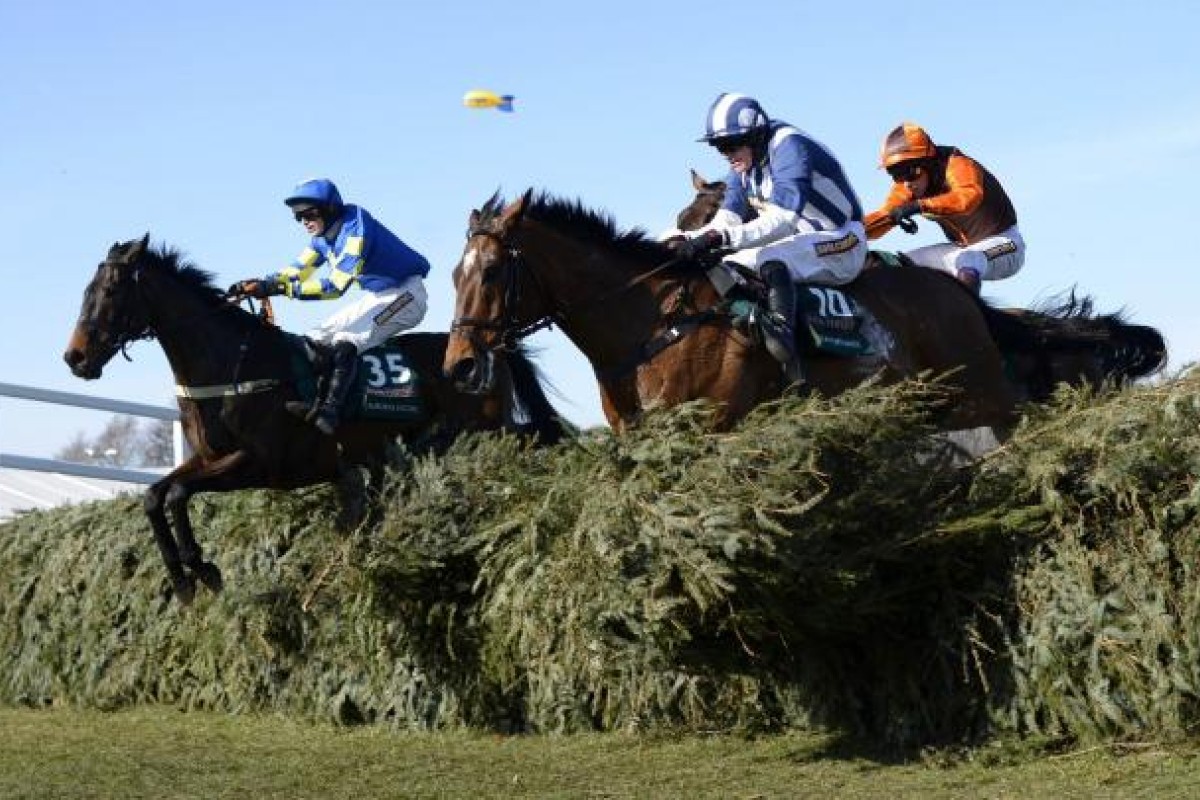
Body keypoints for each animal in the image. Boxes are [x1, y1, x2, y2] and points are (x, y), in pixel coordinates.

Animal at [58, 235, 559, 604]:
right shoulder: (211, 457)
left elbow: (179, 493)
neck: (233, 366)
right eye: (85, 291)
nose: (75, 357)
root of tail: (491, 350)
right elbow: (154, 495)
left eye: (109, 291)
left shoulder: (261, 464)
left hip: (485, 430)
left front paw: (202, 567)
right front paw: (183, 579)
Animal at [446, 190, 1027, 434]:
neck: (654, 323)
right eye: (455, 275)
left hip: (982, 399)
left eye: (492, 271)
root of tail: (956, 288)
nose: (460, 365)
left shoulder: (715, 425)